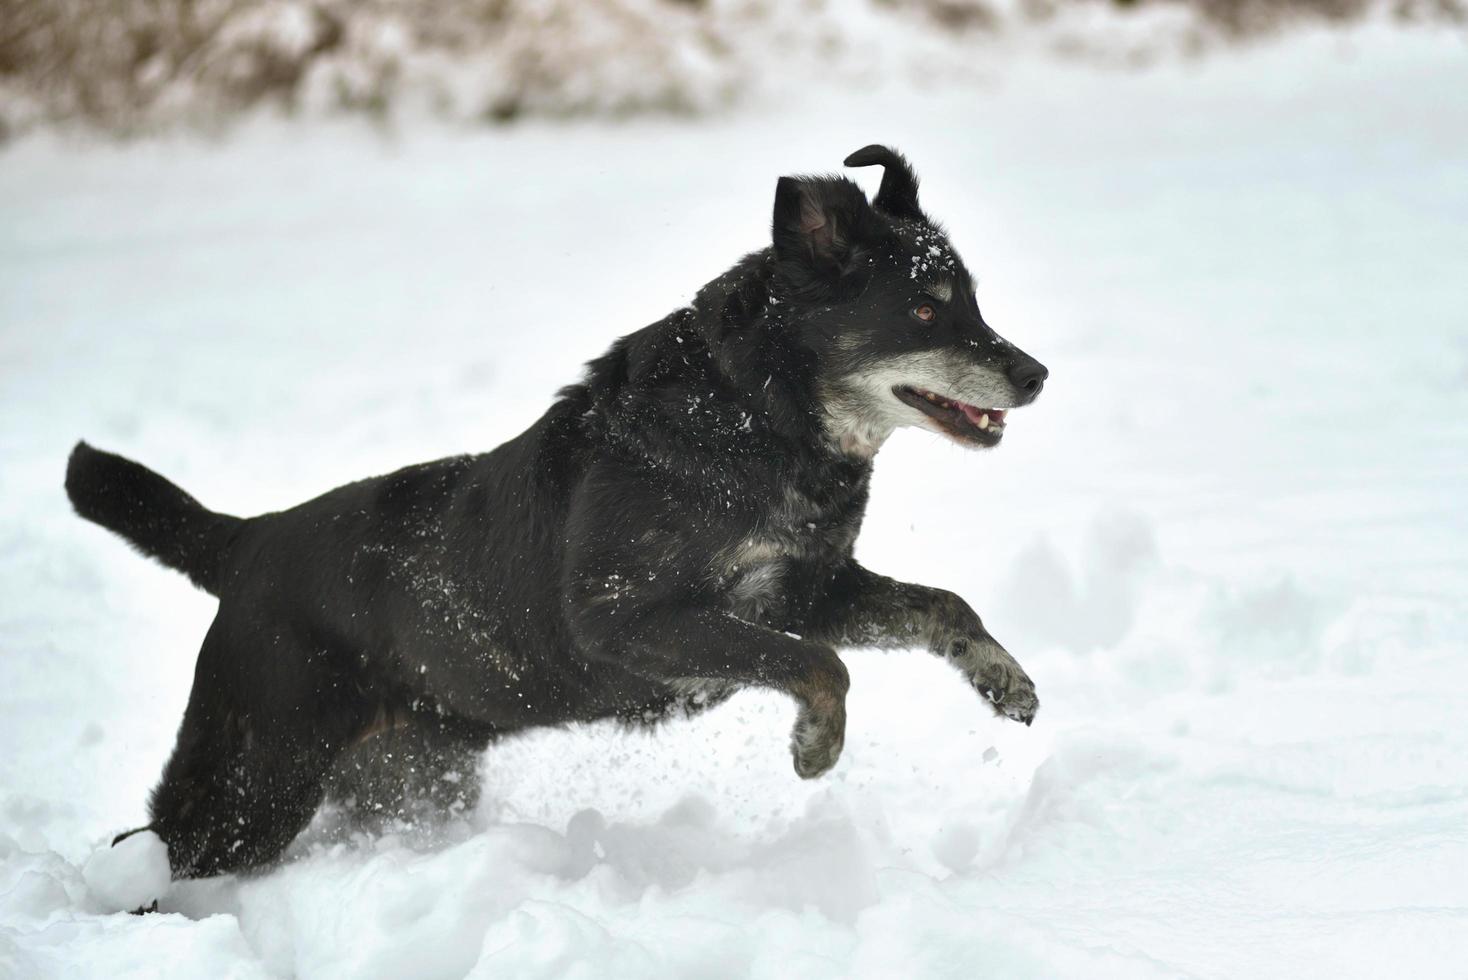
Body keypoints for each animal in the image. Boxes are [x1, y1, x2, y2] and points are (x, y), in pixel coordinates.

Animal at [68, 147, 1051, 880]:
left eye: (972, 301)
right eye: (922, 308)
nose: (1036, 373)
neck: (753, 418)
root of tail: (249, 542)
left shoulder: (809, 593)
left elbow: (941, 607)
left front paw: (1006, 682)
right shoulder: (630, 618)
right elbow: (820, 667)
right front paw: (815, 746)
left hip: (400, 776)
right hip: (258, 777)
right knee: (156, 845)